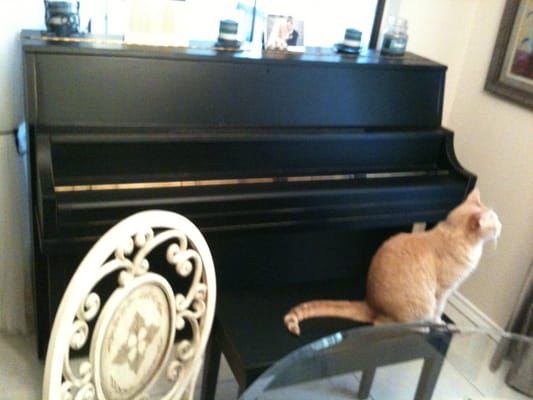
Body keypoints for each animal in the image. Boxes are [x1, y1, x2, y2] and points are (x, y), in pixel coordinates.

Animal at [284, 189, 500, 336]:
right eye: (495, 222)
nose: (502, 226)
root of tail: (370, 303)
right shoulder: (443, 291)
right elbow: (438, 311)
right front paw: (439, 323)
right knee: (380, 324)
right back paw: (421, 329)